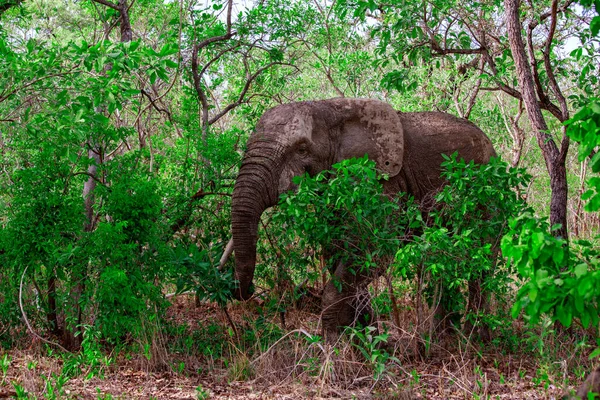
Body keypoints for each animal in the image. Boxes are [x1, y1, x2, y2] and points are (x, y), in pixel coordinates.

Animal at [231, 98, 496, 340]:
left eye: (302, 150)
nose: (247, 291)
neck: (329, 109)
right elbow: (337, 253)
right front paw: (366, 339)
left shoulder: (382, 182)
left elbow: (372, 249)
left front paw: (335, 346)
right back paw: (441, 339)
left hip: (486, 196)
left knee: (481, 263)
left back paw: (474, 338)